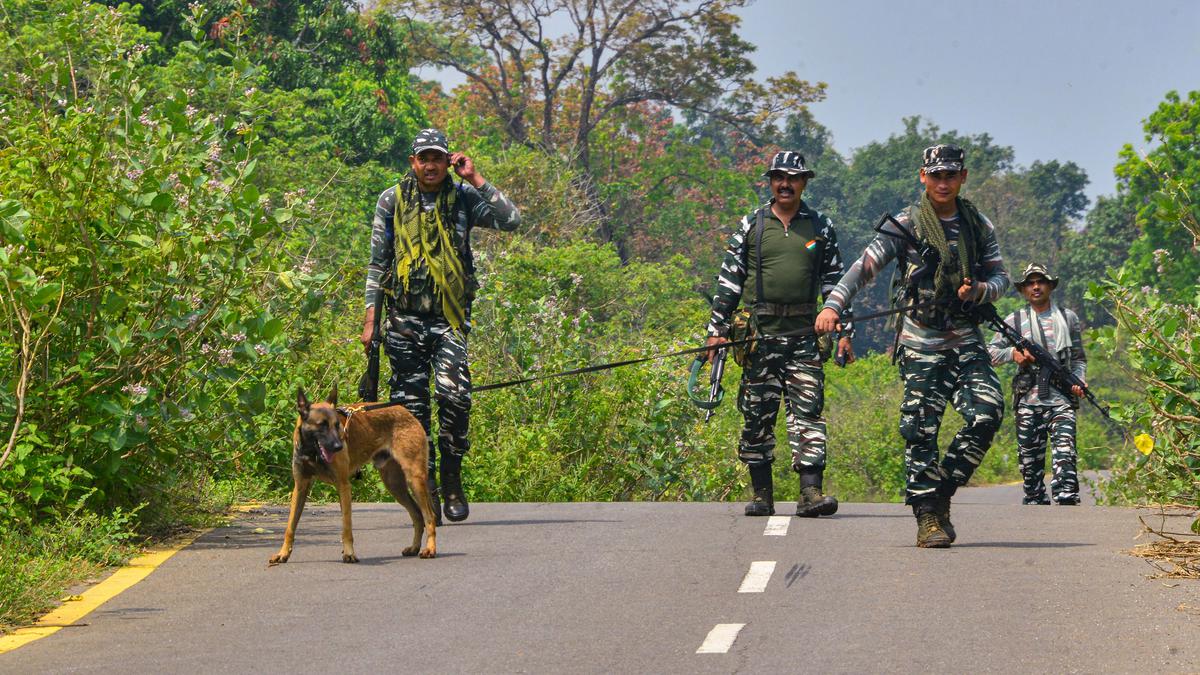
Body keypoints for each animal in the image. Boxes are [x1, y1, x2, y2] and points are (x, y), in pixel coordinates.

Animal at [268, 384, 436, 562]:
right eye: (322, 425)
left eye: (337, 425)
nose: (339, 446)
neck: (312, 453)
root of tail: (407, 412)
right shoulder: (300, 488)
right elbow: (290, 526)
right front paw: (283, 553)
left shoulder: (343, 486)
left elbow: (346, 527)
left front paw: (349, 553)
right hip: (395, 485)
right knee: (417, 515)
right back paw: (414, 547)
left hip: (414, 479)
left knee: (429, 516)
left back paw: (430, 549)